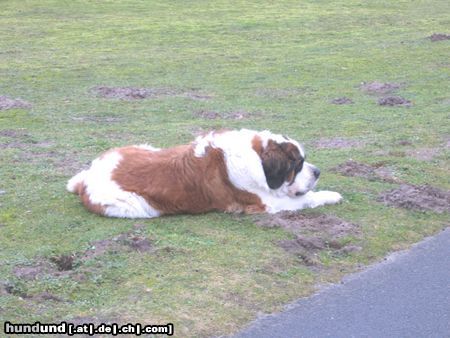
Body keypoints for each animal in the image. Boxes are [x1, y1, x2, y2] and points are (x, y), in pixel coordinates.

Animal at [67, 128, 342, 218]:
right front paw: (332, 195)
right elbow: (307, 198)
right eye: (297, 165)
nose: (317, 171)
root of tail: (88, 177)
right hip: (136, 207)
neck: (256, 156)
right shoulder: (266, 203)